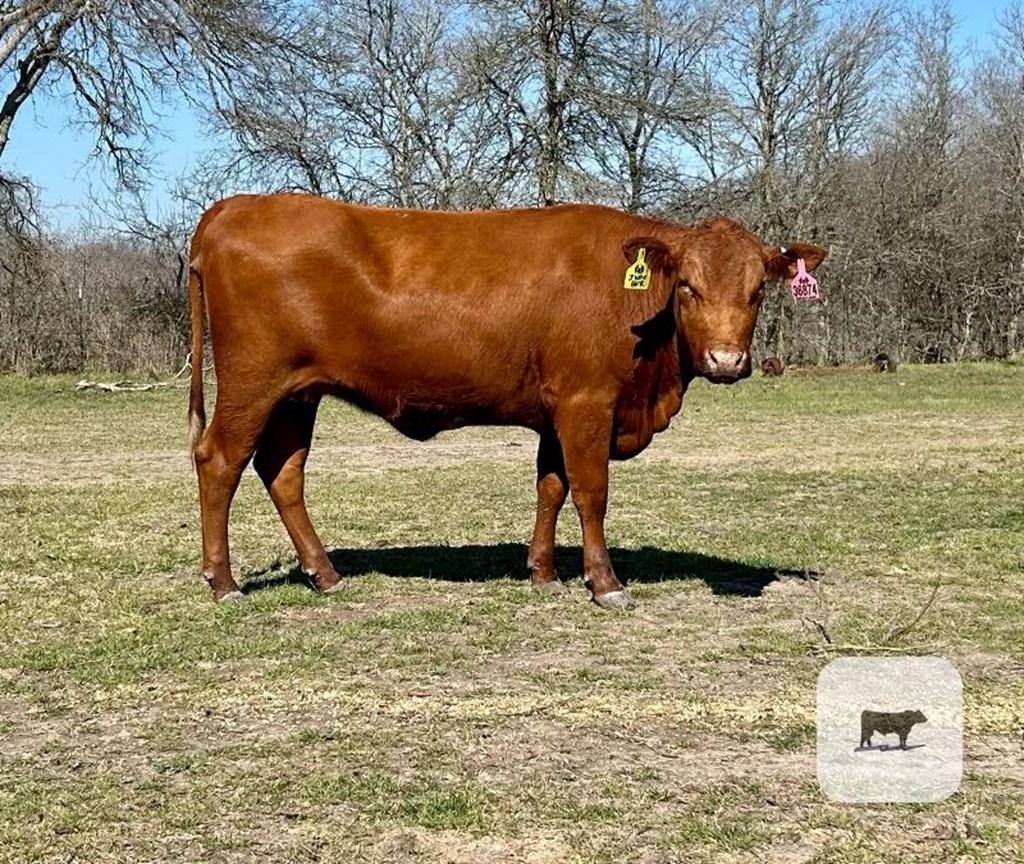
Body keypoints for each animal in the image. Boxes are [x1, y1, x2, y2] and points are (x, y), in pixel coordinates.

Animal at [188, 199, 827, 610]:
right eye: (688, 287)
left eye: (758, 290)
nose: (726, 360)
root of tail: (232, 208)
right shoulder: (586, 403)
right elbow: (590, 492)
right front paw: (605, 583)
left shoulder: (555, 412)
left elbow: (551, 487)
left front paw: (543, 574)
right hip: (252, 384)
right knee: (219, 461)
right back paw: (224, 584)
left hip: (297, 395)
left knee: (282, 472)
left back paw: (325, 575)